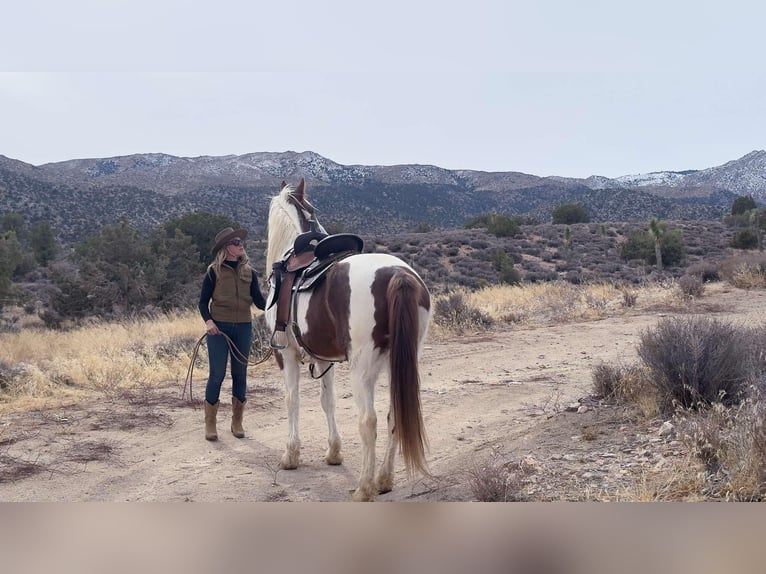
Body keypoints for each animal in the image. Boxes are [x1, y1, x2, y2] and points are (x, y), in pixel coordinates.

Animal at [264, 178, 432, 501]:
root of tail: (398, 274)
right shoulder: (323, 359)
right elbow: (327, 400)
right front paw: (334, 452)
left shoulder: (287, 354)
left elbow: (292, 400)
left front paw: (291, 455)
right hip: (401, 361)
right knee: (394, 415)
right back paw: (384, 479)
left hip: (363, 369)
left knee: (369, 421)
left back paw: (365, 487)